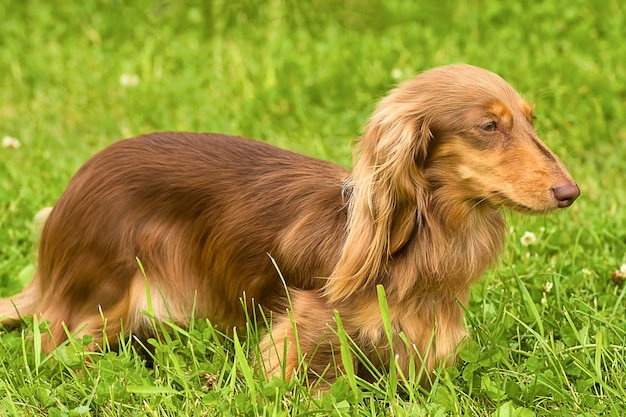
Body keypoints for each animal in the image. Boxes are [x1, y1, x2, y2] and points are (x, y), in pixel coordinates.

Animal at [0, 65, 576, 386]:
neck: (425, 239)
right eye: (489, 125)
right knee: (56, 346)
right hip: (107, 299)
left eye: (532, 121)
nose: (570, 192)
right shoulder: (306, 322)